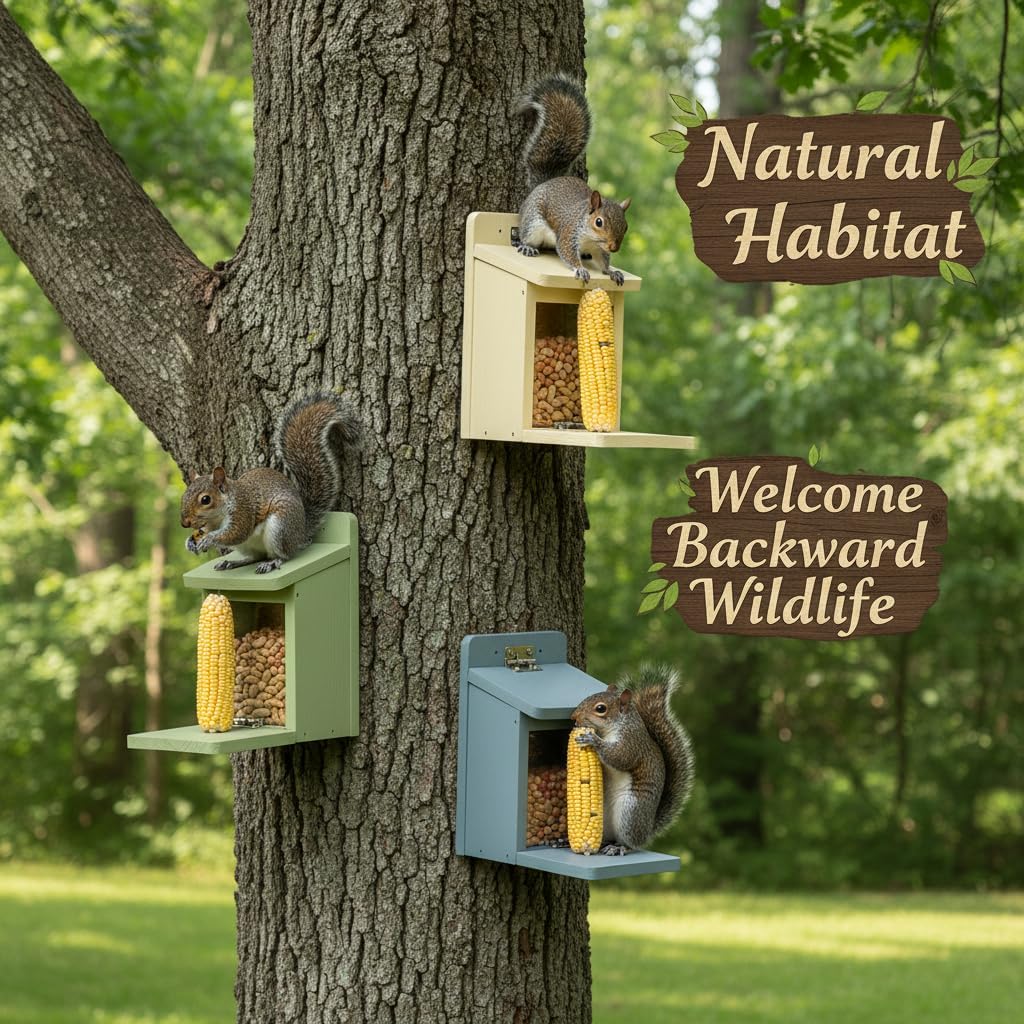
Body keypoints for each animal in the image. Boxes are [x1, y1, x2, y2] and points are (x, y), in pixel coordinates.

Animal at [180, 393, 360, 574]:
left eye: (205, 500)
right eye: (184, 496)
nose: (184, 523)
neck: (218, 515)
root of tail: (301, 531)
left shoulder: (243, 512)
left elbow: (236, 533)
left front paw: (209, 539)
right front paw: (190, 542)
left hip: (280, 528)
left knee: (285, 555)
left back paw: (272, 562)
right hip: (248, 545)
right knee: (255, 557)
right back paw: (232, 562)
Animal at [515, 74, 631, 286]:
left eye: (626, 226)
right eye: (599, 222)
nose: (614, 247)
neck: (591, 238)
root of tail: (545, 182)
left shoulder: (599, 249)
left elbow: (604, 262)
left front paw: (612, 271)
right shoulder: (569, 234)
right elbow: (567, 252)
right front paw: (580, 269)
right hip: (533, 222)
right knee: (526, 236)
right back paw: (527, 247)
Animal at [571, 666, 695, 856]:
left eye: (600, 708)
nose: (574, 717)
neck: (618, 725)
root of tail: (647, 830)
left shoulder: (631, 743)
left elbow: (620, 757)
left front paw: (593, 740)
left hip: (630, 812)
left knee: (631, 843)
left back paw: (619, 847)